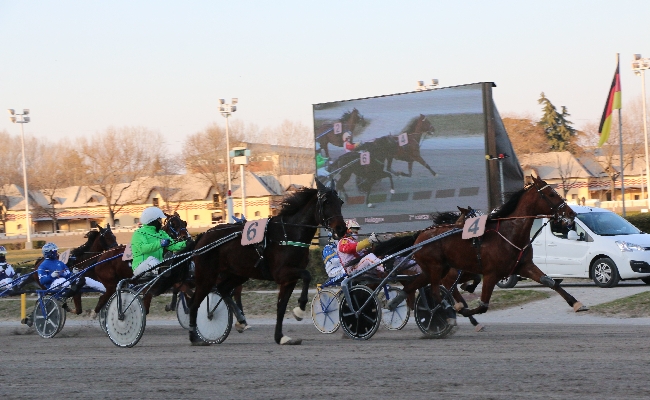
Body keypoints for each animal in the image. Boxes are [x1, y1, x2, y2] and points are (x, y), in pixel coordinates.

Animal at [187, 180, 344, 346]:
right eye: (326, 202)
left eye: (340, 202)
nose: (341, 228)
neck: (288, 234)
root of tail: (202, 237)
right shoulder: (281, 273)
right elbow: (307, 275)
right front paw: (300, 310)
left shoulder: (289, 279)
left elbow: (281, 307)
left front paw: (280, 337)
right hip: (206, 276)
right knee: (194, 304)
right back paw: (195, 336)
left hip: (238, 273)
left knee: (223, 288)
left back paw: (241, 320)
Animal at [400, 177, 588, 332]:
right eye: (551, 194)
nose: (571, 213)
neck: (510, 233)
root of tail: (420, 236)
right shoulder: (491, 274)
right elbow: (483, 305)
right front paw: (462, 309)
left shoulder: (524, 265)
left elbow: (550, 282)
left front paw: (577, 303)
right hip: (436, 268)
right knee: (436, 293)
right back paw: (448, 312)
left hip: (434, 270)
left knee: (412, 287)